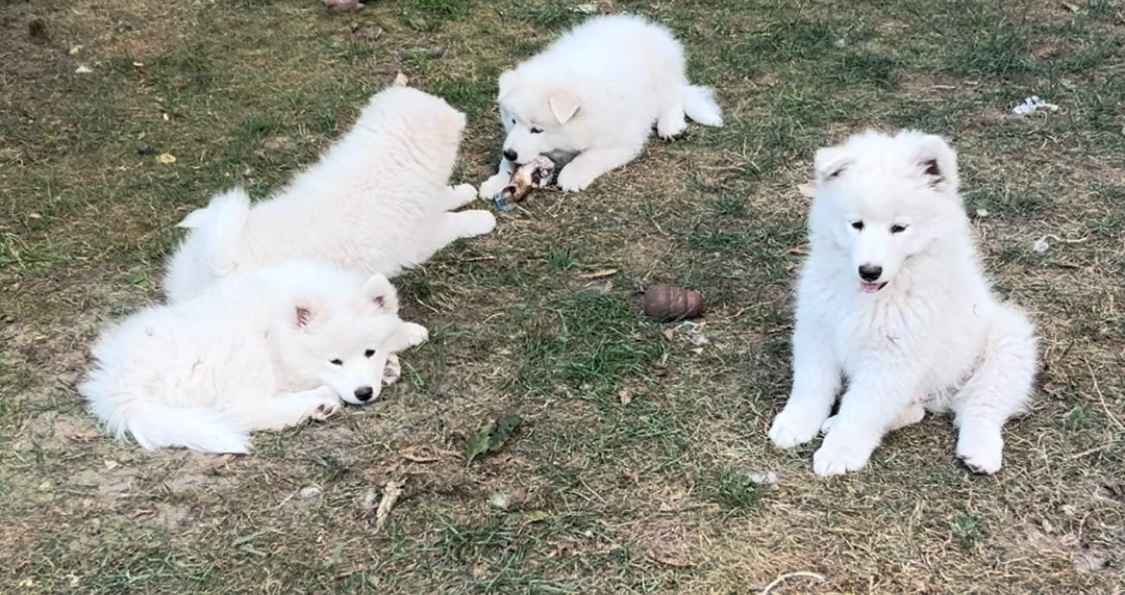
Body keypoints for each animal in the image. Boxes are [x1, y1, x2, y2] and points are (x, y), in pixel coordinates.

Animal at [79, 260, 427, 454]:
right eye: (334, 361)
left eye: (370, 352)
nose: (364, 393)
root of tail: (119, 381)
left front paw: (404, 339)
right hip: (238, 350)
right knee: (241, 410)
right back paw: (318, 402)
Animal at [164, 84, 495, 301]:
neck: (386, 158)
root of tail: (202, 272)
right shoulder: (420, 240)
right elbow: (453, 223)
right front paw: (482, 218)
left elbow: (443, 198)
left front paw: (463, 191)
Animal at [474, 13, 720, 195]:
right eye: (512, 121)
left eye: (537, 130)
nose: (509, 153)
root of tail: (645, 27)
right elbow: (508, 164)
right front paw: (496, 181)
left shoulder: (622, 140)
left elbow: (590, 156)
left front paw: (571, 176)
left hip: (663, 76)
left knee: (673, 97)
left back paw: (671, 126)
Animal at [769, 131, 1039, 476]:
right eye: (856, 224)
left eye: (899, 228)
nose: (870, 270)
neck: (871, 296)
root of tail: (940, 395)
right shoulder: (818, 332)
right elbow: (811, 386)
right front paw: (795, 424)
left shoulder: (892, 357)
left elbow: (862, 410)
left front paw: (840, 452)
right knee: (915, 410)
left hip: (1007, 346)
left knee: (982, 406)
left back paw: (979, 452)